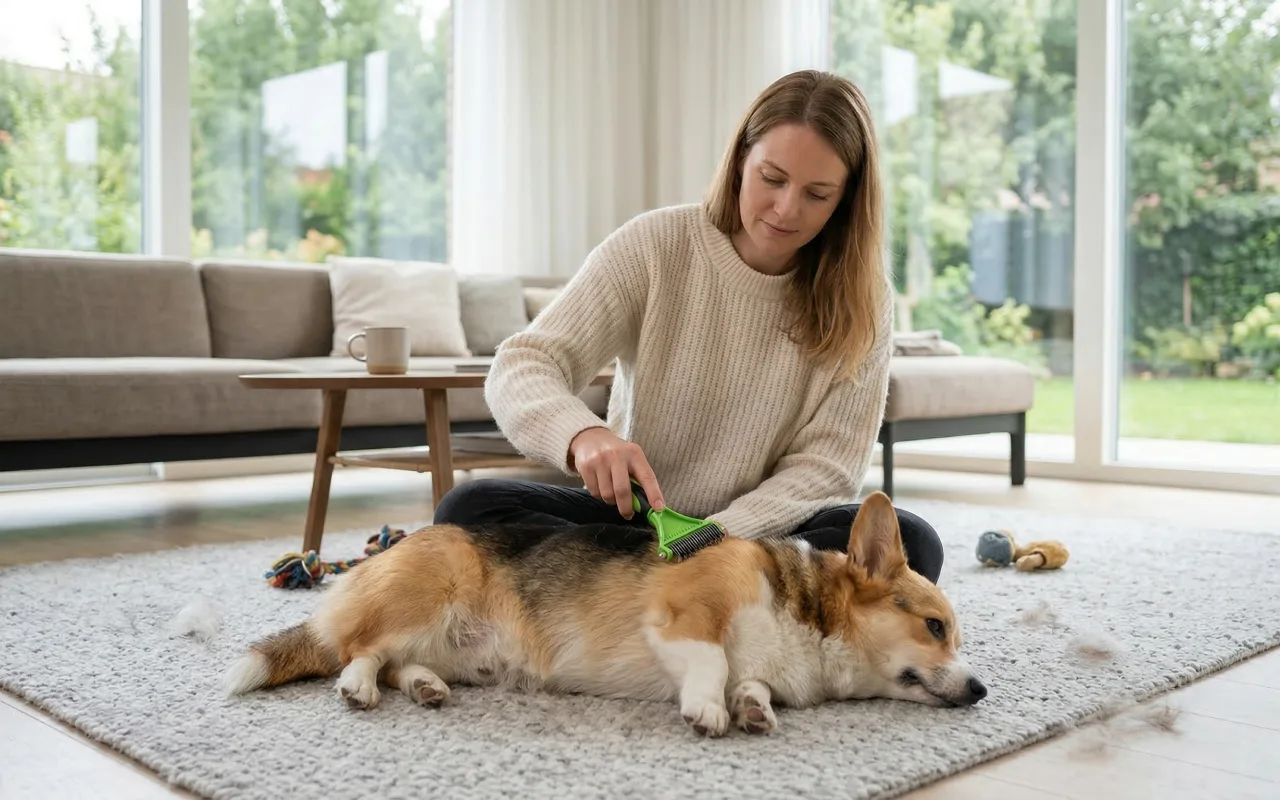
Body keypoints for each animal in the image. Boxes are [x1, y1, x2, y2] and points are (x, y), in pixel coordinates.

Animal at [224, 491, 986, 736]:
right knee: (361, 649)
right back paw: (356, 685)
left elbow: (750, 681)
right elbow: (711, 659)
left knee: (399, 662)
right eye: (935, 626)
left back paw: (425, 687)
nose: (981, 690)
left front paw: (752, 708)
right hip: (427, 591)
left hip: (446, 641)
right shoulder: (684, 611)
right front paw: (709, 710)